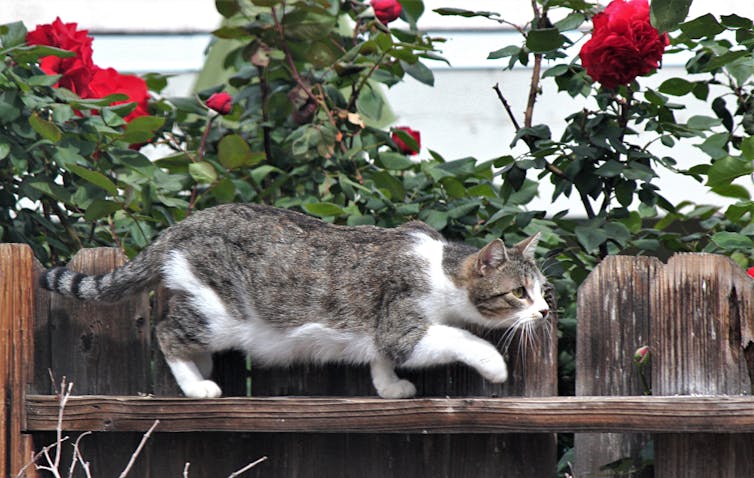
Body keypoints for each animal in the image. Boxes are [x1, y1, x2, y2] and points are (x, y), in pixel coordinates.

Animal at [39, 204, 548, 398]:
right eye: (519, 292)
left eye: (543, 290)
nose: (543, 311)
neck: (442, 269)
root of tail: (183, 225)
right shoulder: (403, 327)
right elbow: (458, 337)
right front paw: (494, 366)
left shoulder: (382, 330)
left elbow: (380, 359)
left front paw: (389, 387)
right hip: (222, 315)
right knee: (166, 333)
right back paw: (198, 386)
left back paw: (200, 371)